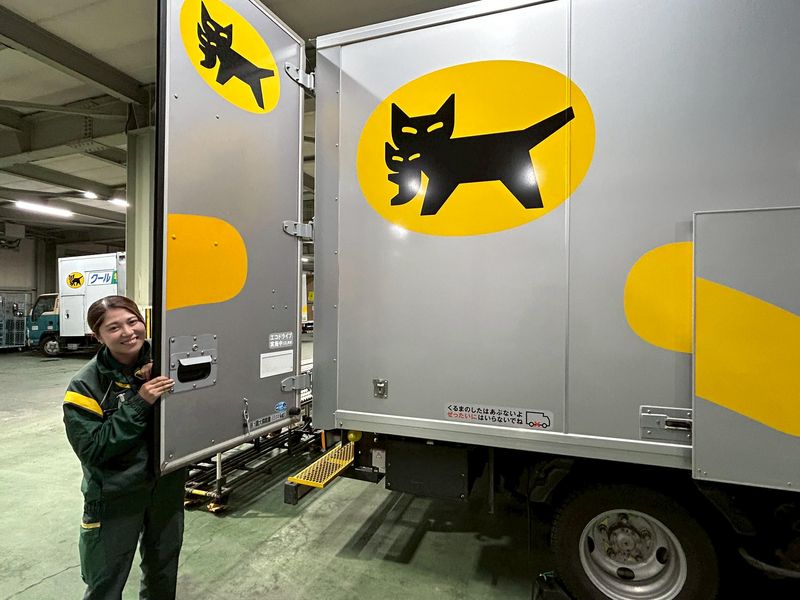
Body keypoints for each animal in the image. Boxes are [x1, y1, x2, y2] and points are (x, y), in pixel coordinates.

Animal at [385, 94, 575, 216]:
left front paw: (427, 210)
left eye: (435, 128)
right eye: (409, 131)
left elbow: (431, 201)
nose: (424, 138)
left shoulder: (443, 181)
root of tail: (520, 133)